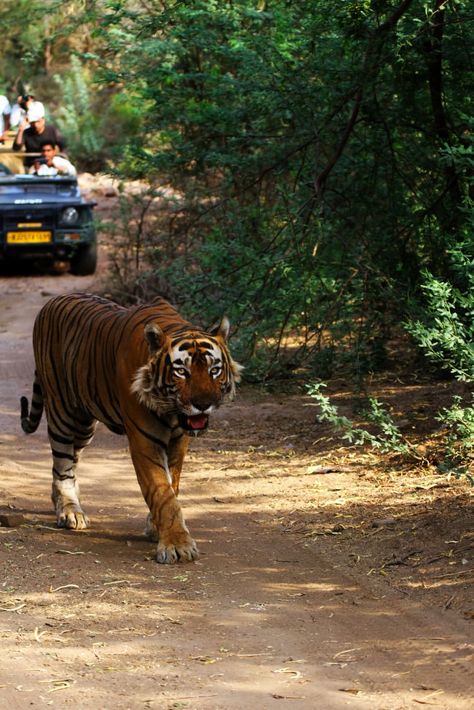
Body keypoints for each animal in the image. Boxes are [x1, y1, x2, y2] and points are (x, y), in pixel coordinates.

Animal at [19, 292, 241, 564]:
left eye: (214, 370)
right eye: (181, 371)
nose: (203, 404)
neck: (171, 411)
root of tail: (53, 301)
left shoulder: (178, 440)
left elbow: (173, 484)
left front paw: (156, 527)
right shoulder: (145, 440)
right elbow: (163, 492)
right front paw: (177, 545)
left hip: (83, 426)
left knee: (71, 459)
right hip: (63, 412)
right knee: (62, 465)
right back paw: (70, 511)